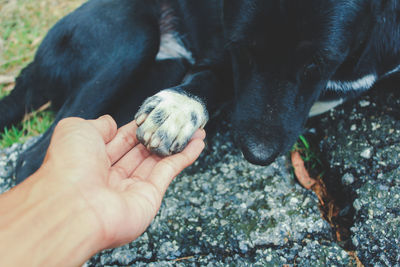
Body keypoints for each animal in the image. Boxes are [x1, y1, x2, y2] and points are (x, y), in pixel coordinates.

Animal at [0, 0, 400, 184]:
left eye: (318, 62)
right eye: (242, 49)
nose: (257, 155)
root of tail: (29, 70)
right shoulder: (222, 57)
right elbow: (211, 79)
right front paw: (178, 109)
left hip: (164, 68)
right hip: (131, 34)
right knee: (32, 159)